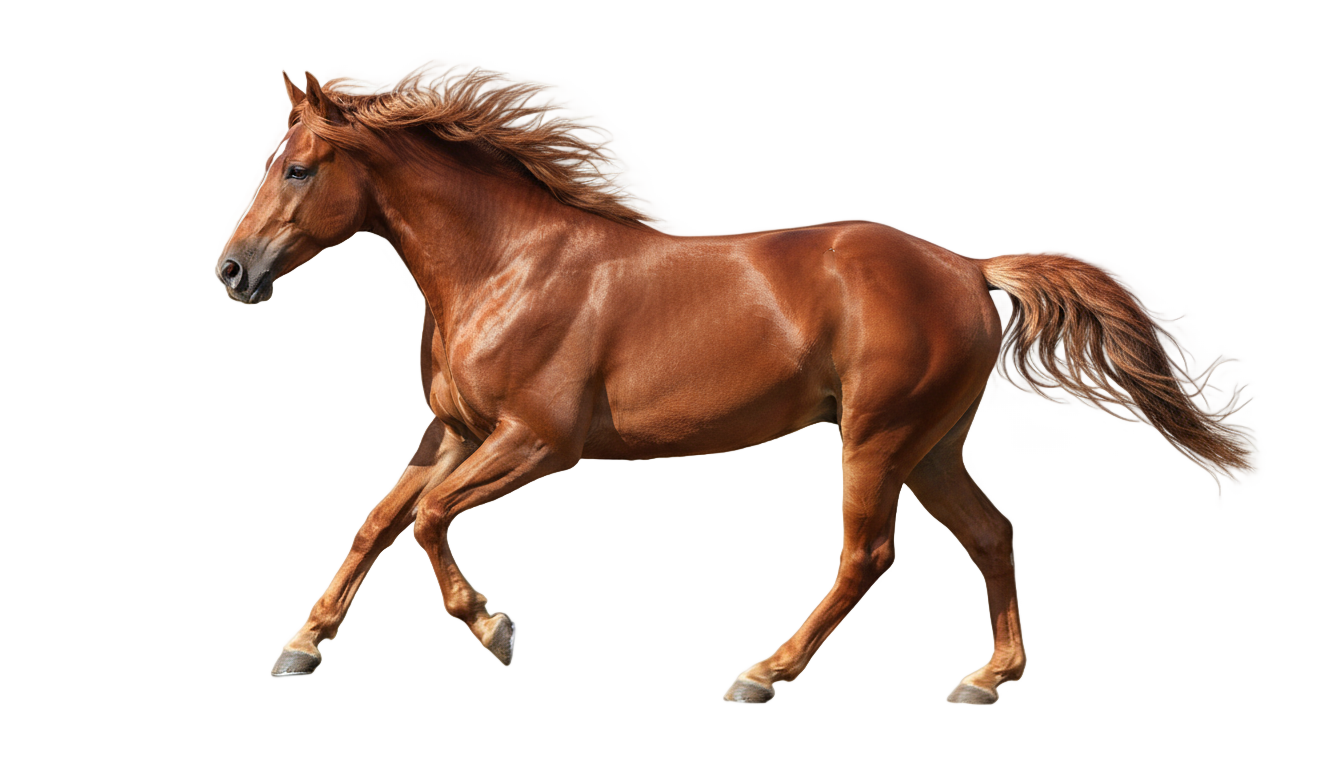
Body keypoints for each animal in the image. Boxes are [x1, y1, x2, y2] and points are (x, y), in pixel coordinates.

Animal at [215, 66, 1249, 704]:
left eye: (298, 169)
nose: (233, 272)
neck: (509, 266)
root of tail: (971, 271)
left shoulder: (533, 441)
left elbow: (429, 521)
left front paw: (491, 628)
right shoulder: (455, 436)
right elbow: (376, 524)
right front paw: (300, 648)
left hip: (876, 439)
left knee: (866, 557)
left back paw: (766, 675)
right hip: (933, 448)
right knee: (993, 537)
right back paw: (990, 681)